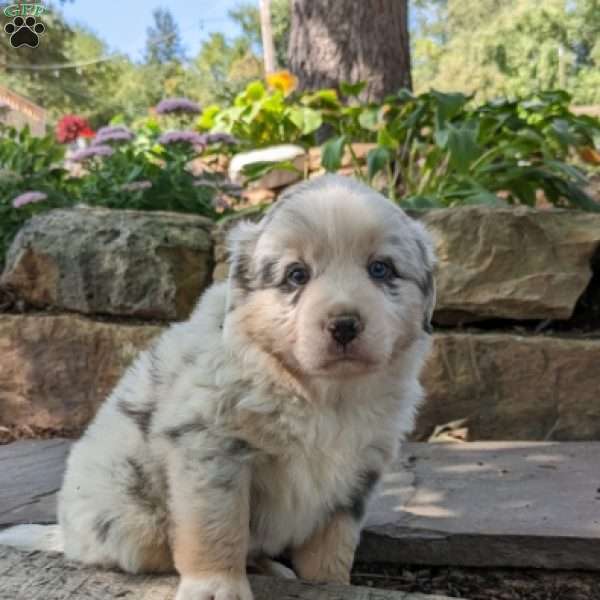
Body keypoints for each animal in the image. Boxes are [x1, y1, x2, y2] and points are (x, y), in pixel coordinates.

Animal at [0, 173, 434, 600]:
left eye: (381, 270)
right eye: (297, 275)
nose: (344, 325)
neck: (323, 395)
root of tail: (64, 535)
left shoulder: (357, 471)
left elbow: (333, 546)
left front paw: (332, 585)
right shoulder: (210, 448)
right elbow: (218, 528)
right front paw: (216, 588)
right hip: (132, 523)